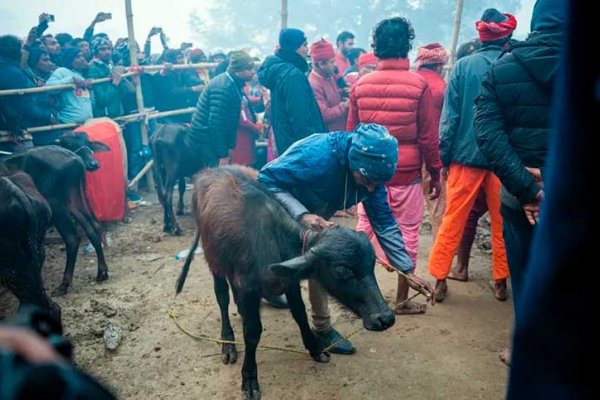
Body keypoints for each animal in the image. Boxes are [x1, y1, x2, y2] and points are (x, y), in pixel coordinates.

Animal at [3, 133, 110, 296]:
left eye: (89, 143)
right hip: (75, 202)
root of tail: (74, 158)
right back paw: (102, 272)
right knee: (94, 228)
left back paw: (64, 284)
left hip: (57, 207)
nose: (93, 163)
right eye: (70, 144)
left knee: (72, 239)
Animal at [176, 167, 396, 400]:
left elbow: (300, 313)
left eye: (371, 264)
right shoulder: (248, 287)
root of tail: (207, 171)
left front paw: (315, 348)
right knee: (222, 297)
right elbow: (252, 332)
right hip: (214, 260)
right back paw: (228, 344)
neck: (274, 241)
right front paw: (249, 378)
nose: (385, 318)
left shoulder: (289, 282)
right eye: (342, 270)